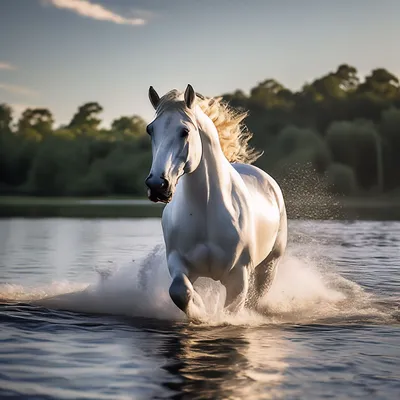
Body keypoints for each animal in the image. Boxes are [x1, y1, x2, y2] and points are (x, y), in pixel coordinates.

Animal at [145, 85, 286, 322]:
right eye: (150, 130)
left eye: (185, 131)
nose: (157, 185)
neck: (206, 210)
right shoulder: (178, 263)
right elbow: (180, 292)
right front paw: (200, 311)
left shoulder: (238, 276)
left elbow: (231, 309)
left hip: (269, 265)